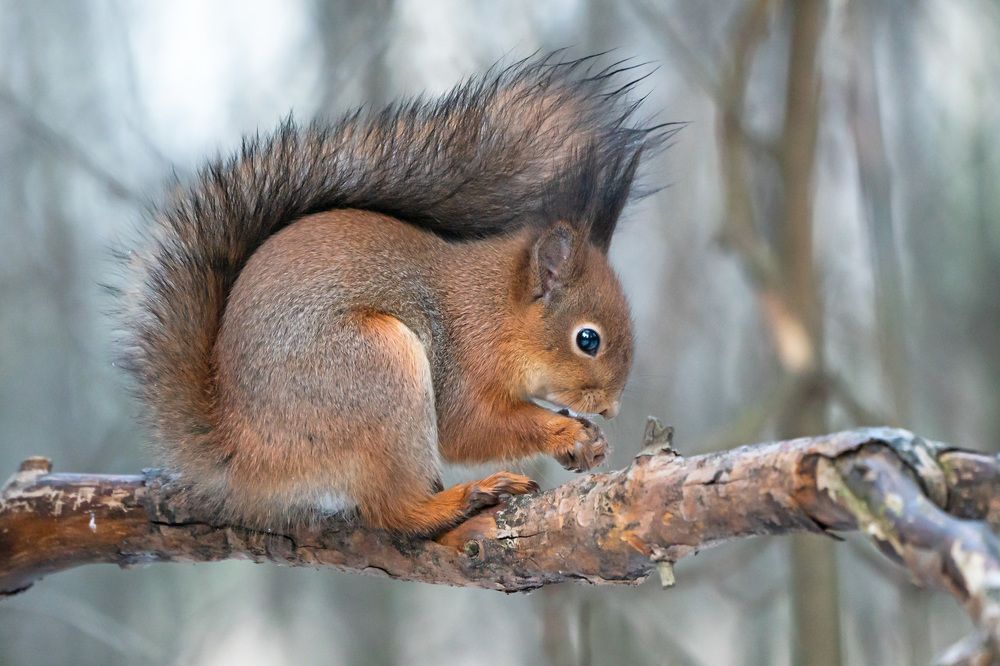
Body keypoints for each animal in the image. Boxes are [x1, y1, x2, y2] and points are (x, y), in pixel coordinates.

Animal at [116, 53, 668, 536]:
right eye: (588, 340)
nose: (611, 408)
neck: (496, 310)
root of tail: (240, 451)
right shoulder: (463, 365)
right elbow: (468, 429)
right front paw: (568, 432)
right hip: (376, 373)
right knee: (391, 511)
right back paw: (459, 500)